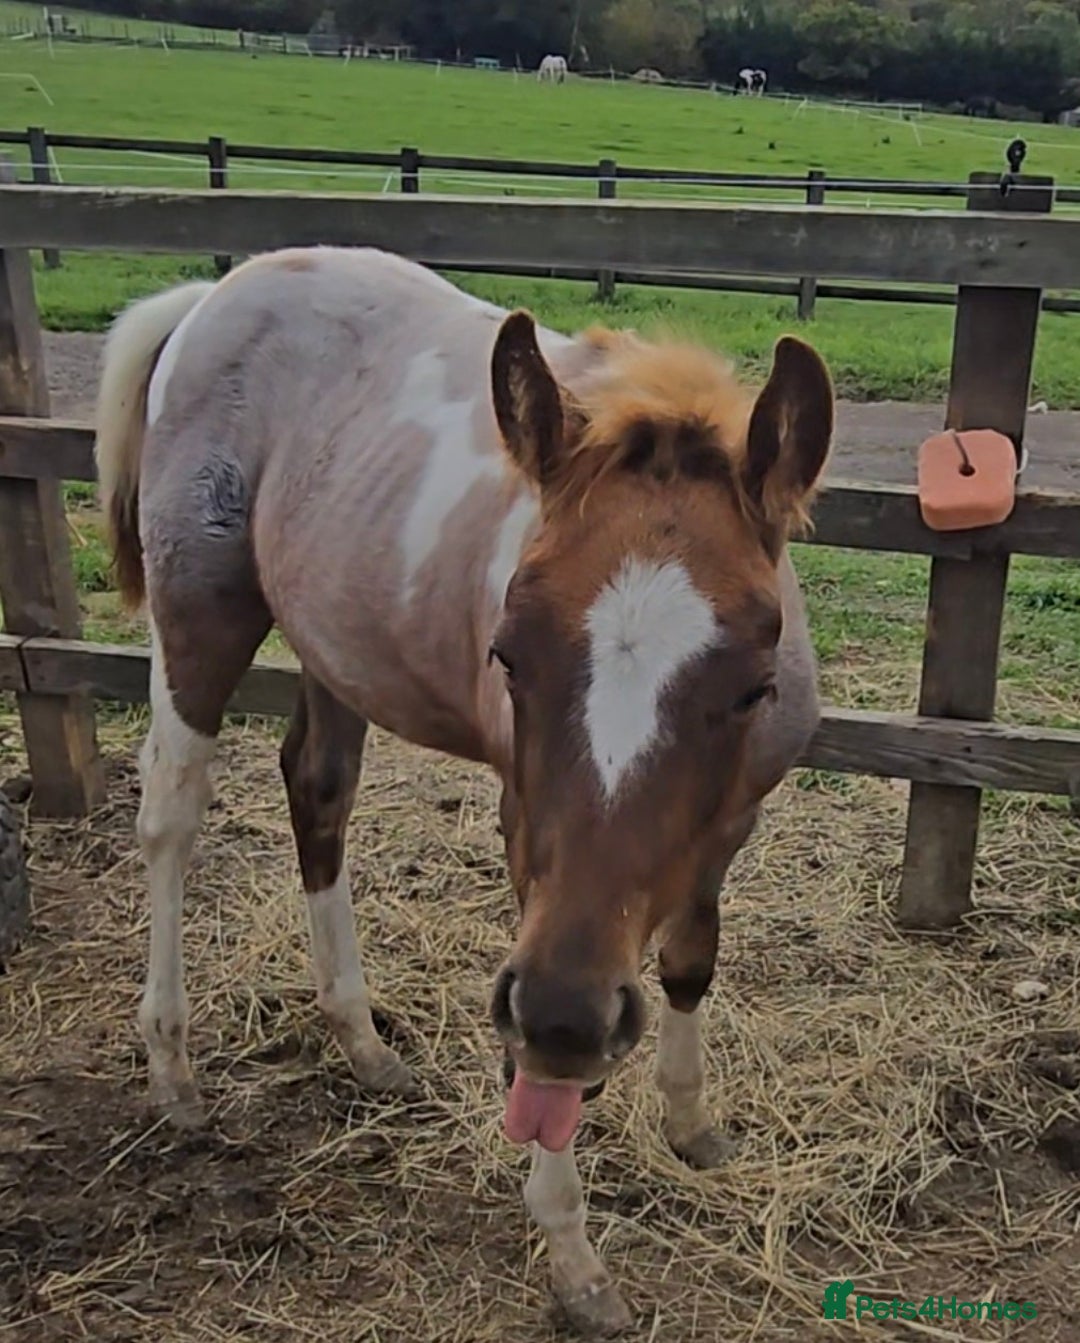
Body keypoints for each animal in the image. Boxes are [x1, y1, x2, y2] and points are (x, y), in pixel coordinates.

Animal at [95, 246, 832, 1334]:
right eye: (507, 653)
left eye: (751, 685)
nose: (570, 1014)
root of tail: (213, 294)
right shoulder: (528, 836)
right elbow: (545, 1063)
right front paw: (574, 1256)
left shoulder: (729, 819)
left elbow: (691, 957)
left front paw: (692, 1119)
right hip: (200, 616)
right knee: (171, 812)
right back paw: (175, 1066)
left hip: (335, 640)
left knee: (318, 788)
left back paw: (361, 1039)